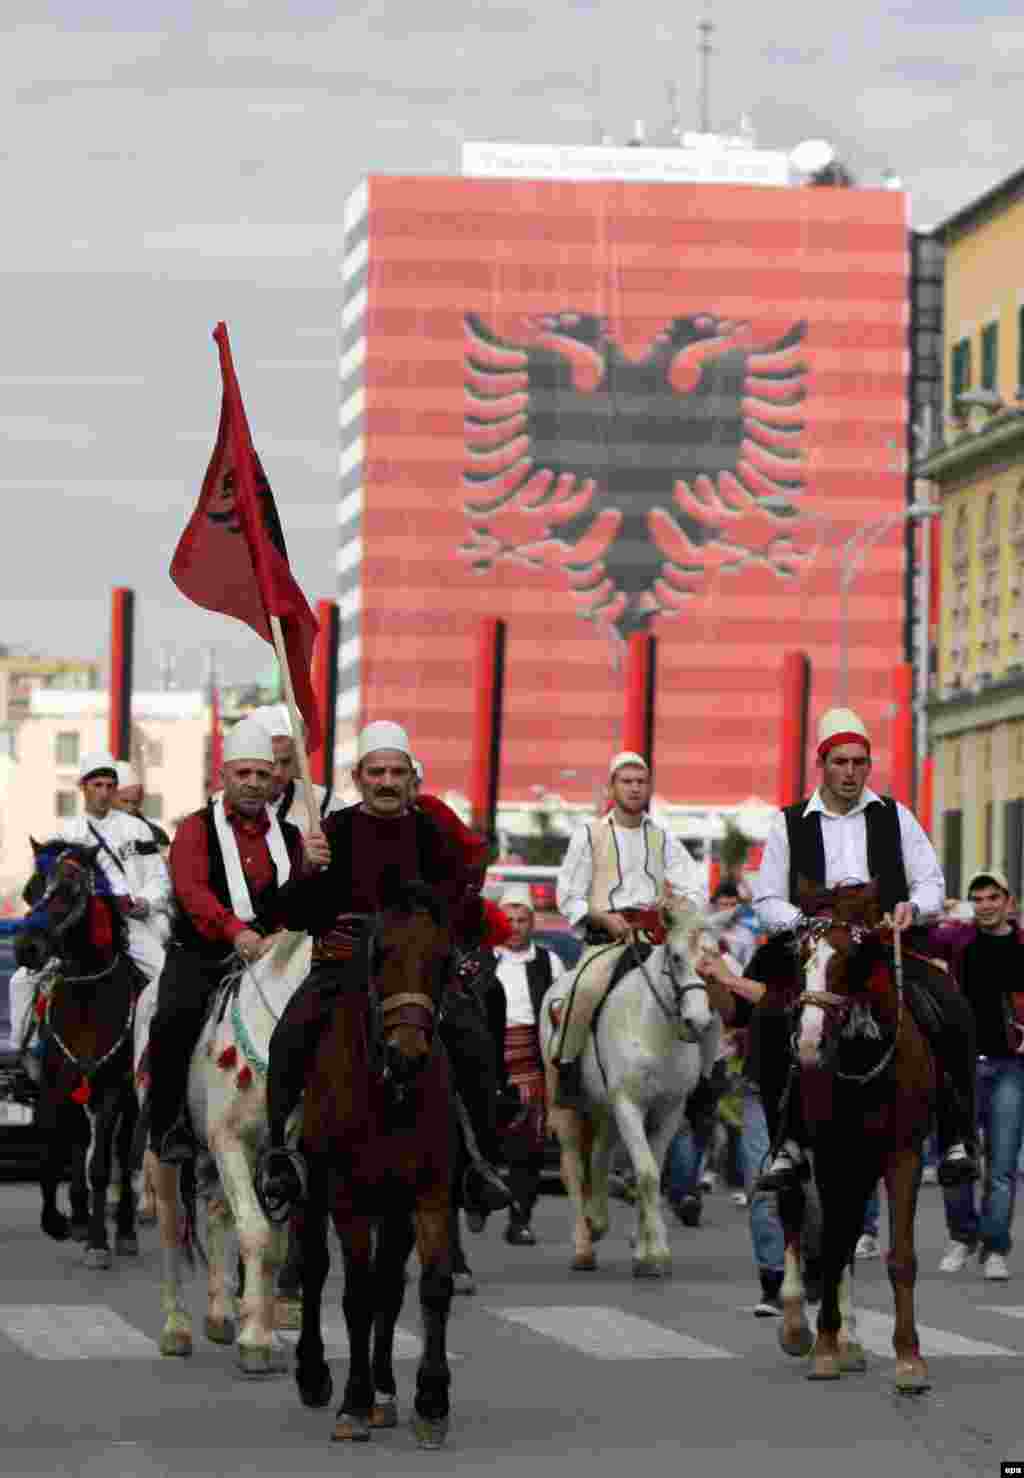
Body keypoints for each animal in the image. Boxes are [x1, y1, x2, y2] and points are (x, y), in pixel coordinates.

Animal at [25, 839, 141, 1265]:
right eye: (31, 890)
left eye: (70, 890)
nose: (25, 947)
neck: (88, 997)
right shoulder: (55, 1083)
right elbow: (53, 1147)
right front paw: (58, 1221)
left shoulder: (112, 1089)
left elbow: (102, 1165)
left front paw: (98, 1241)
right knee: (75, 1141)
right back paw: (76, 1216)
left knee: (124, 1151)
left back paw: (124, 1230)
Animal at [138, 934, 308, 1371]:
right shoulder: (229, 1141)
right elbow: (256, 1232)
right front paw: (255, 1343)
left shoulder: (282, 1160)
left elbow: (274, 1246)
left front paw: (262, 1332)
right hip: (166, 1151)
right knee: (172, 1221)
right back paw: (176, 1327)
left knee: (216, 1213)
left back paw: (219, 1313)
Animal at [294, 874, 458, 1442]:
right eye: (381, 952)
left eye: (443, 958)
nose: (407, 1056)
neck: (390, 1094)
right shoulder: (348, 1195)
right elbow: (356, 1293)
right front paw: (354, 1401)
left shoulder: (430, 1189)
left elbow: (431, 1285)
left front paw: (430, 1399)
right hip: (313, 1189)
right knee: (316, 1269)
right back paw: (314, 1374)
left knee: (390, 1280)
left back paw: (387, 1389)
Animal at [534, 886, 718, 1282]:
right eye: (677, 957)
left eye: (713, 957)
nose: (698, 1021)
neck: (655, 1030)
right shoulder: (629, 1105)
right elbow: (646, 1173)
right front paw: (655, 1253)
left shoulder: (668, 1109)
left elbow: (651, 1171)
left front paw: (645, 1248)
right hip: (568, 1107)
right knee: (573, 1165)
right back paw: (584, 1245)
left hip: (605, 1110)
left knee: (599, 1157)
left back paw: (598, 1221)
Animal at [774, 880, 933, 1389]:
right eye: (802, 955)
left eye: (850, 960)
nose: (807, 1045)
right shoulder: (831, 1155)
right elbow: (830, 1244)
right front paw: (824, 1347)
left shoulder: (904, 1155)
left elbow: (900, 1255)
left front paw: (909, 1357)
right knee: (795, 1212)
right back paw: (800, 1326)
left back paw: (851, 1339)